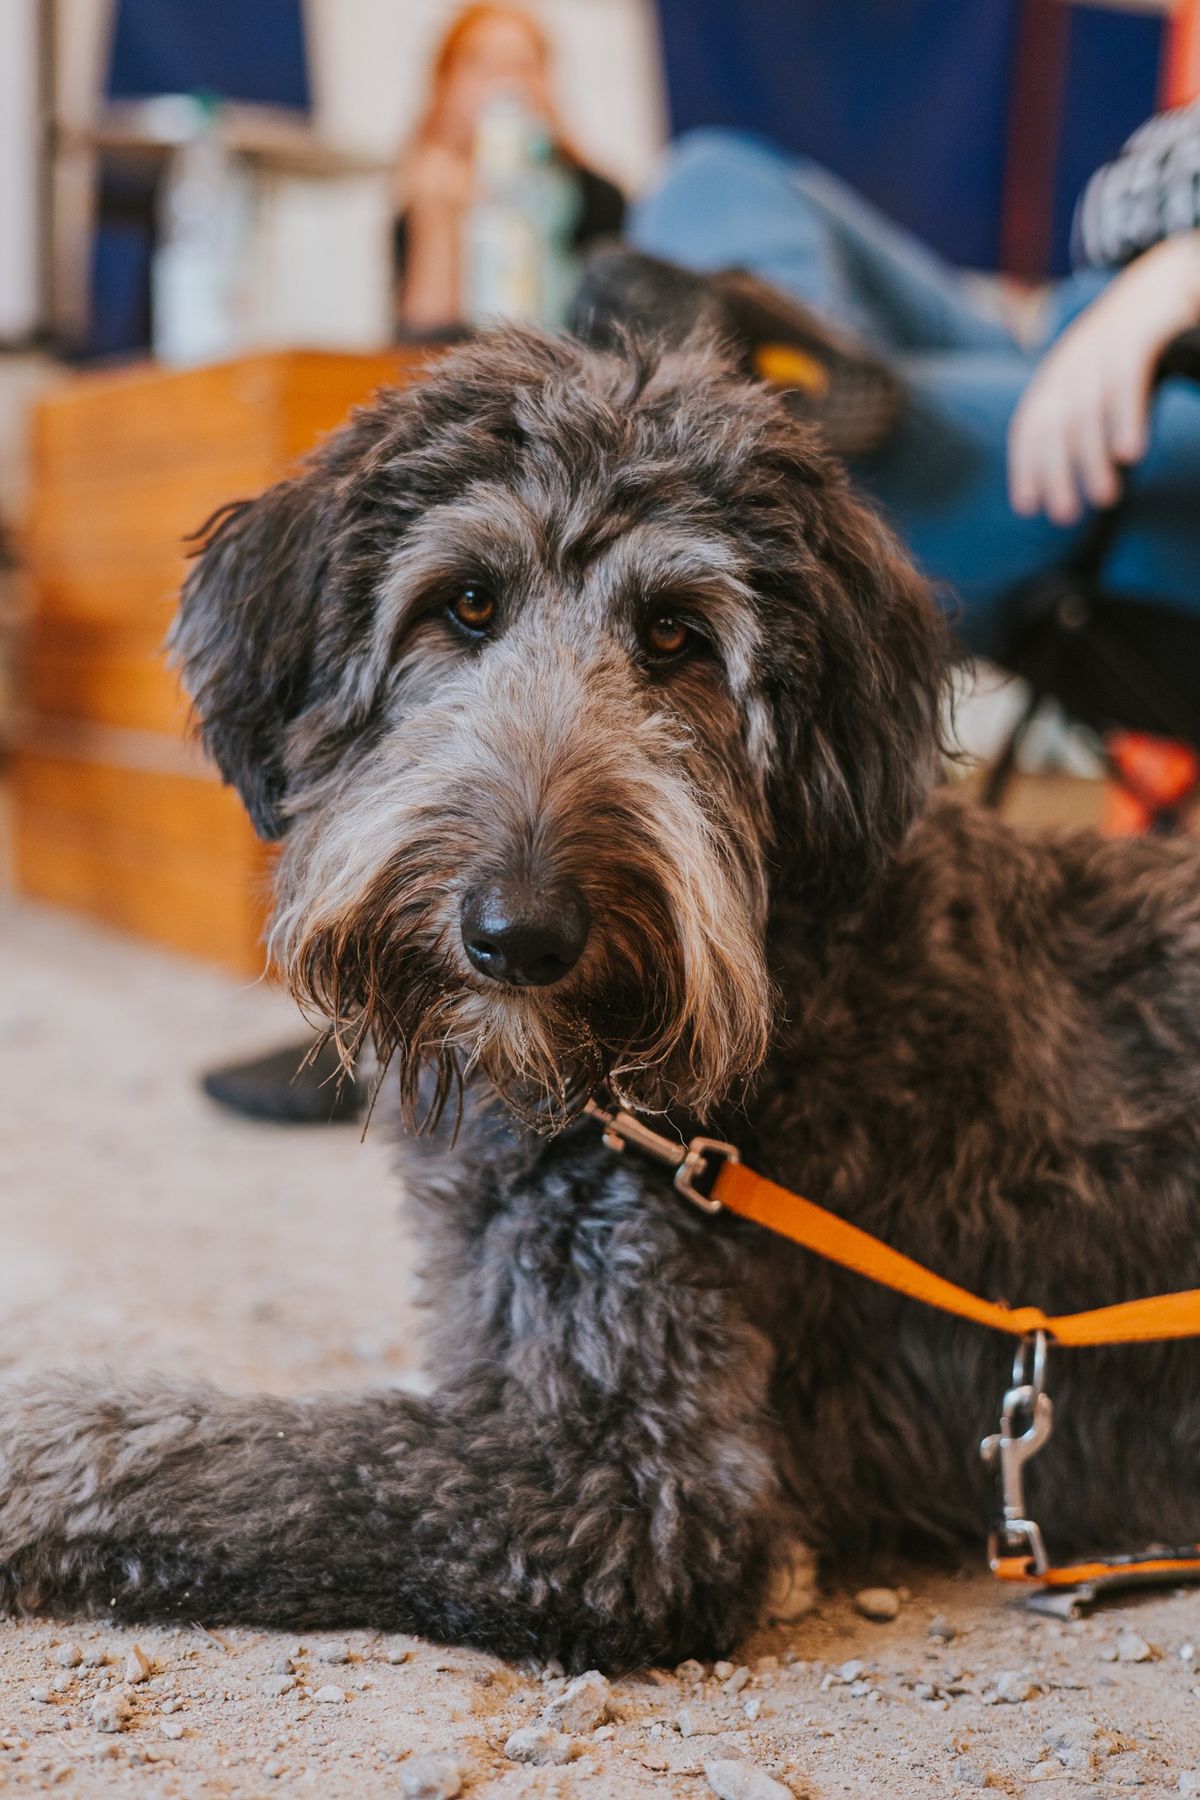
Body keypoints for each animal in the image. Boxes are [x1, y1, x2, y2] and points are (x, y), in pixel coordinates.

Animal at [7, 327, 1200, 1670]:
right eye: (466, 603)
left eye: (677, 636)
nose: (518, 936)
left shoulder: (631, 1476)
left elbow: (259, 1461)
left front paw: (36, 1445)